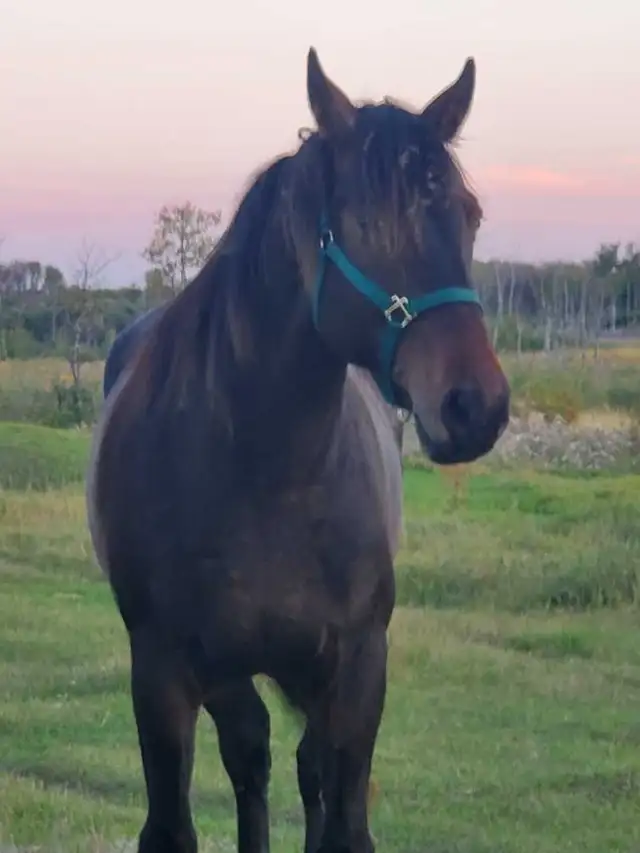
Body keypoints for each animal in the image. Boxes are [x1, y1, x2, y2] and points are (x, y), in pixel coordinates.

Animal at [86, 47, 510, 853]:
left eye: (469, 215)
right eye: (366, 221)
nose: (477, 407)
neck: (266, 477)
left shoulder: (357, 666)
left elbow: (341, 819)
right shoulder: (164, 670)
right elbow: (181, 817)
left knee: (302, 765)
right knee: (251, 757)